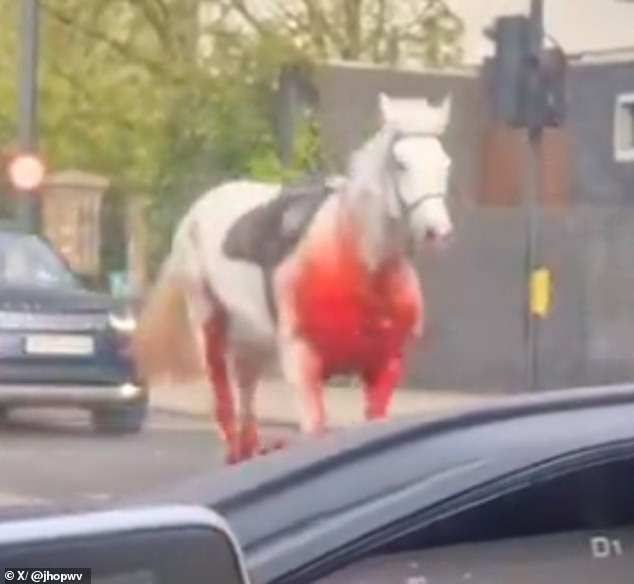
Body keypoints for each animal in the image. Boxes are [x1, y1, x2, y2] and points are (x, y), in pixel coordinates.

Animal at [131, 93, 452, 464]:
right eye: (400, 163)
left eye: (445, 163)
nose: (437, 231)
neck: (357, 262)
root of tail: (198, 211)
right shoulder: (302, 361)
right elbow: (314, 430)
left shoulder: (385, 364)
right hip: (209, 324)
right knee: (224, 401)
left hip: (251, 340)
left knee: (247, 399)